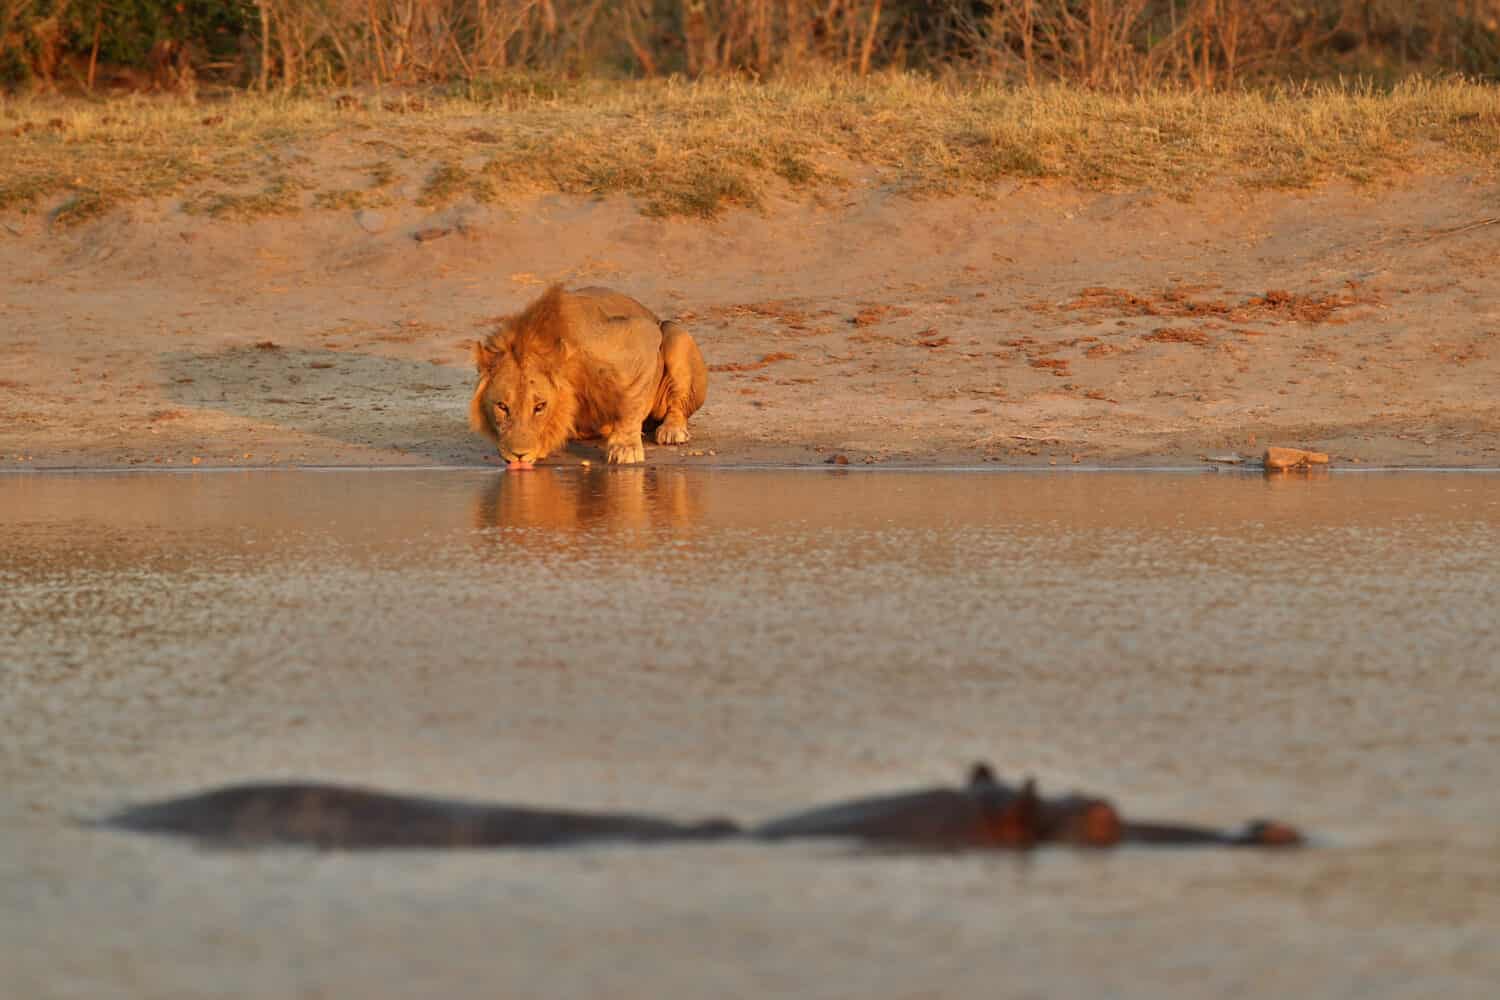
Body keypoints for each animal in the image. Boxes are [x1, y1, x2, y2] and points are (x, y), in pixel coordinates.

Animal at [468, 283, 708, 467]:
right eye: (502, 406)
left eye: (540, 406)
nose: (518, 455)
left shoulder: (641, 335)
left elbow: (631, 400)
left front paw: (624, 448)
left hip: (674, 334)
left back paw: (672, 430)